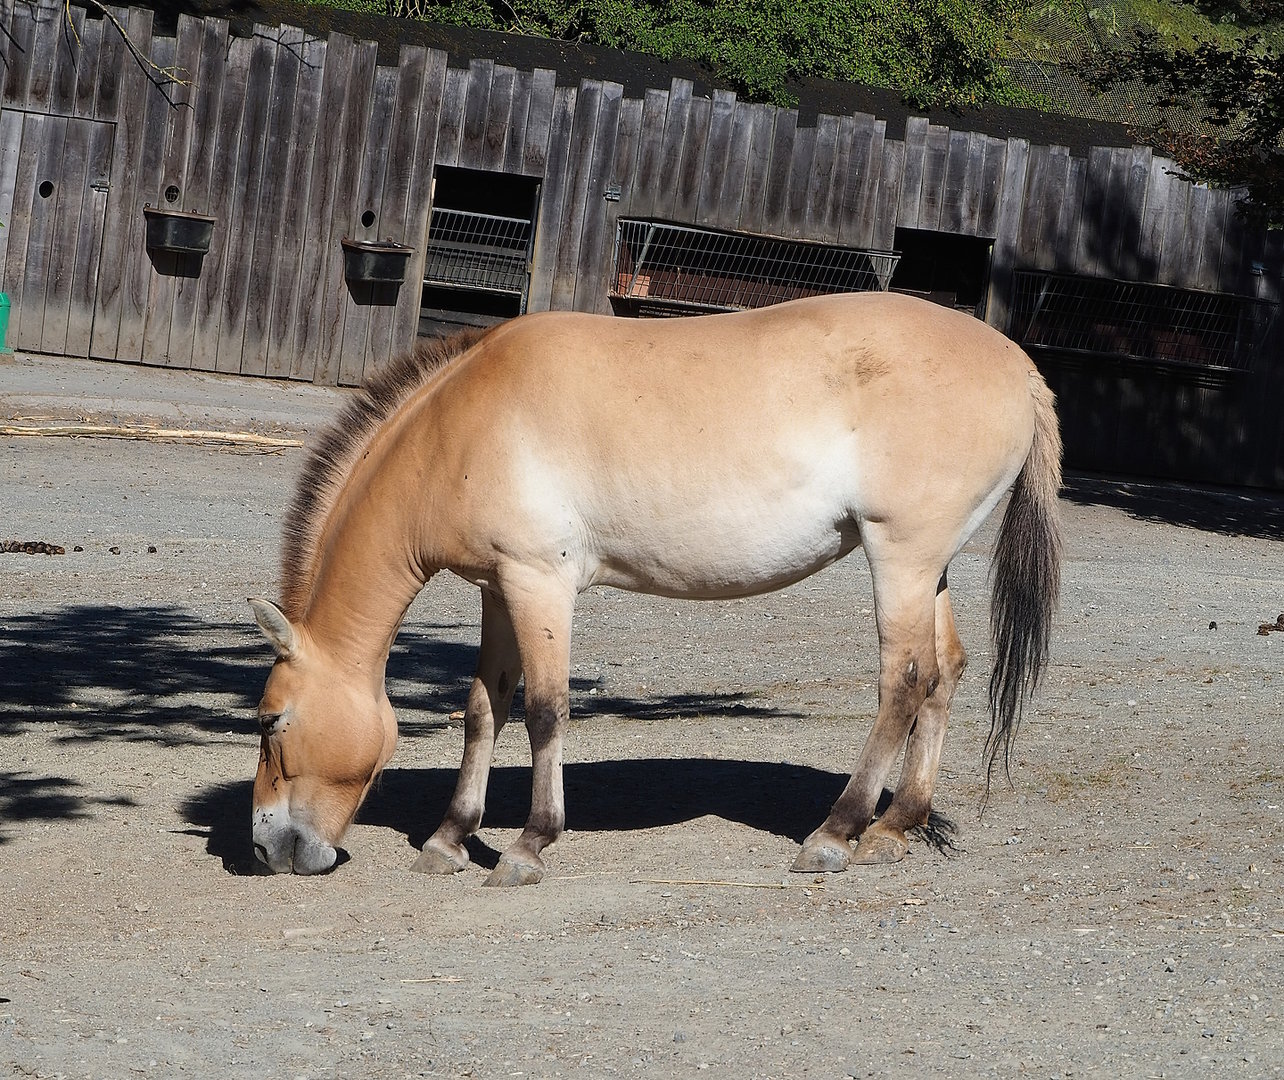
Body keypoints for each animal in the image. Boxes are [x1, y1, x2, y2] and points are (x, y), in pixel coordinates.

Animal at [248, 291, 1062, 885]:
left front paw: (528, 846)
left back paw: (835, 834)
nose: (265, 847)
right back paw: (895, 828)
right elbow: (485, 709)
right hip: (928, 568)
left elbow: (545, 710)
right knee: (944, 673)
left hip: (901, 559)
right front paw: (449, 838)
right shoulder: (497, 589)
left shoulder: (540, 581)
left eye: (270, 721)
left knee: (905, 680)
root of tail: (1014, 362)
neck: (460, 425)